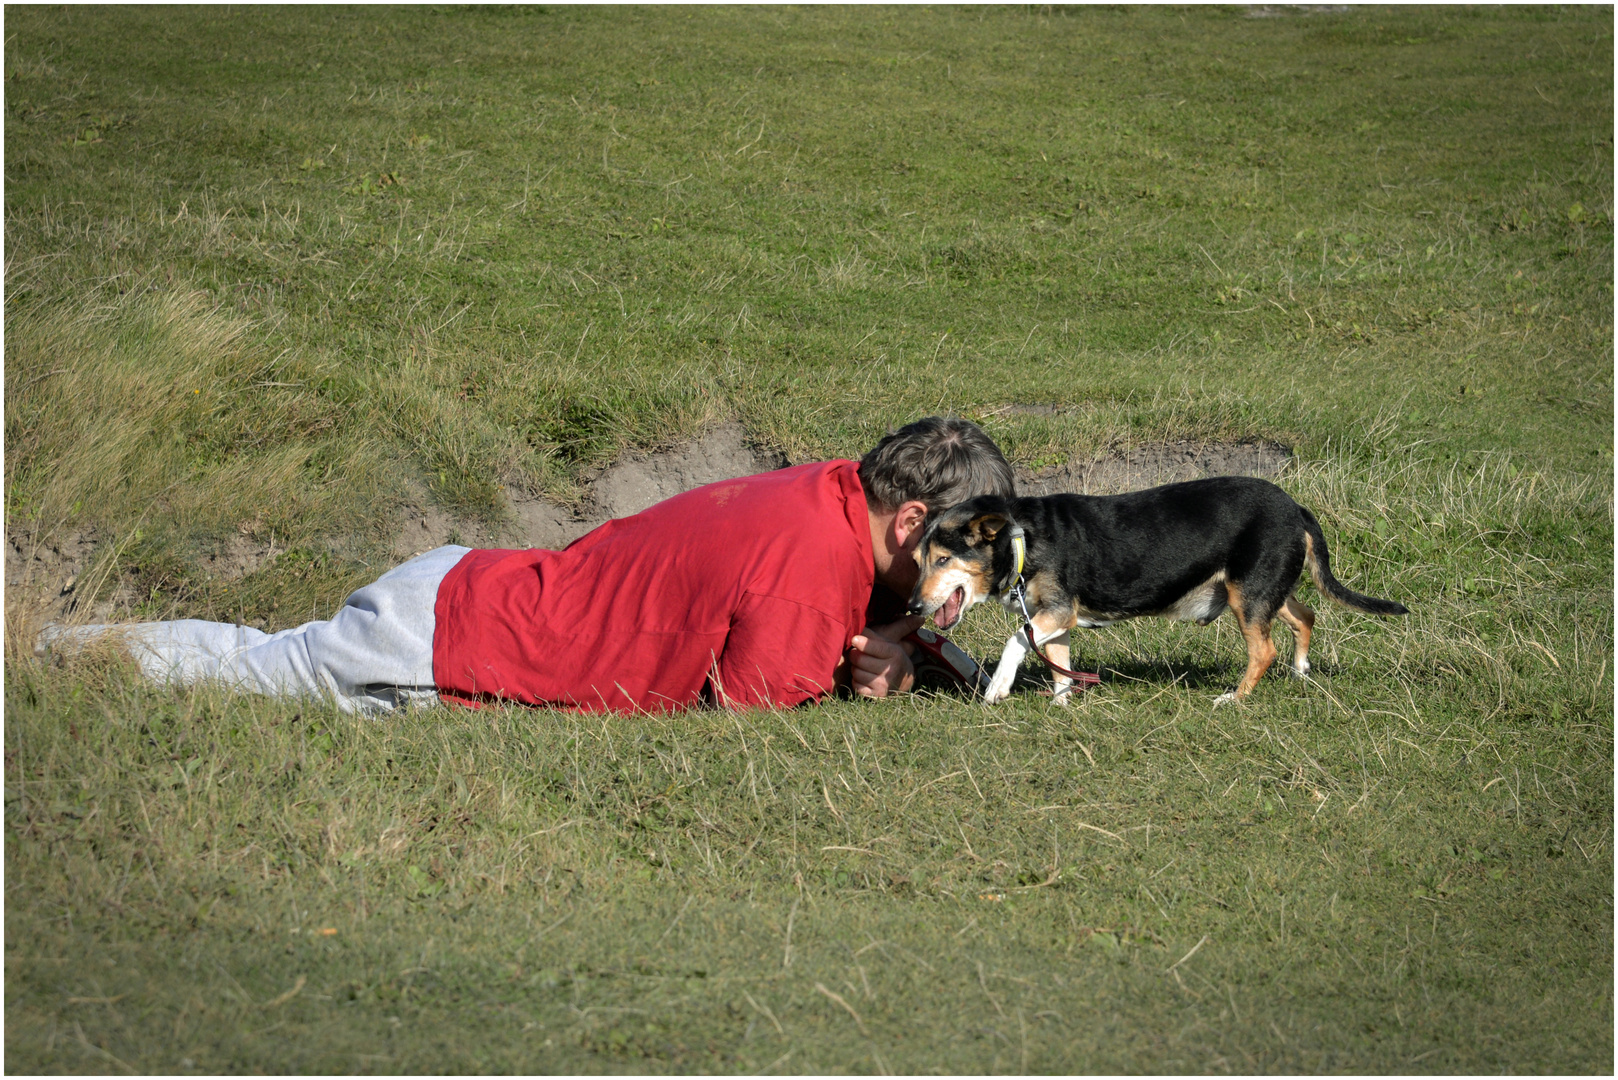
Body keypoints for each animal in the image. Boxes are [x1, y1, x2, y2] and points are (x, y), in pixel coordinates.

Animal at [919, 476, 1410, 705]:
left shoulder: (1056, 611)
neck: (1021, 538)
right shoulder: (1055, 618)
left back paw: (1234, 699)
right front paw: (1062, 703)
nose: (914, 605)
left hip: (1246, 597)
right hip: (1263, 590)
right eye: (920, 560)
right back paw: (1301, 672)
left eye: (942, 560)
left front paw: (999, 687)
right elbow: (1058, 664)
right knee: (1305, 616)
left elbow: (1016, 640)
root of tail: (1297, 508)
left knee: (1263, 651)